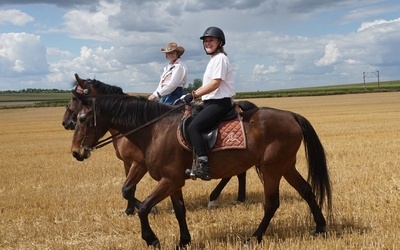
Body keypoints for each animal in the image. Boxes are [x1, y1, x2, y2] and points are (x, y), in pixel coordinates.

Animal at [62, 73, 247, 214]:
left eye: (74, 98)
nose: (65, 122)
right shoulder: (128, 163)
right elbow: (127, 188)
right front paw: (129, 210)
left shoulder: (139, 164)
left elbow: (127, 190)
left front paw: (150, 209)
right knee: (238, 171)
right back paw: (238, 198)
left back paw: (217, 198)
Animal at [70, 91, 332, 247]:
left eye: (82, 118)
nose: (75, 152)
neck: (155, 130)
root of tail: (291, 115)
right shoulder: (173, 180)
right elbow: (179, 210)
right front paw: (184, 241)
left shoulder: (168, 179)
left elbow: (143, 207)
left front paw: (151, 239)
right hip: (285, 166)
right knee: (307, 191)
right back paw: (320, 228)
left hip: (271, 169)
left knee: (271, 203)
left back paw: (254, 236)